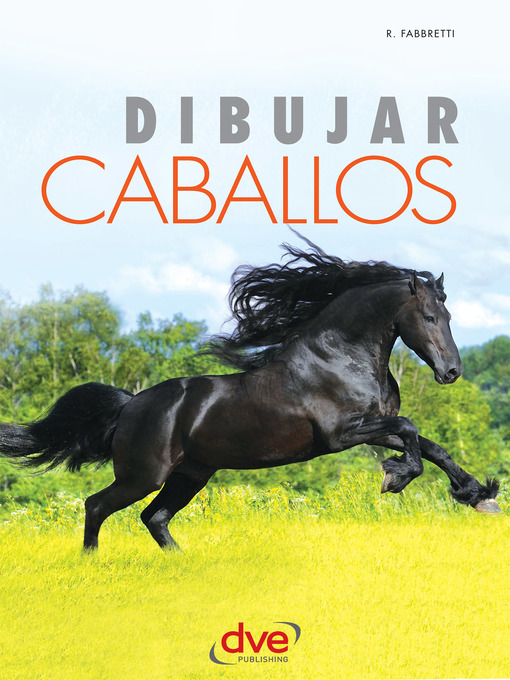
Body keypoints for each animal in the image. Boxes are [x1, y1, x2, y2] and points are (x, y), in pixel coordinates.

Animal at [0, 234, 501, 550]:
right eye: (430, 317)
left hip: (190, 475)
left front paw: (479, 494)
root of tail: (129, 405)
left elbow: (430, 445)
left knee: (154, 518)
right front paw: (395, 478)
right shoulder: (342, 434)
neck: (342, 357)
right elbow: (412, 430)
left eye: (449, 316)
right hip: (143, 475)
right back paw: (92, 563)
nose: (452, 371)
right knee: (97, 505)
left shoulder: (373, 427)